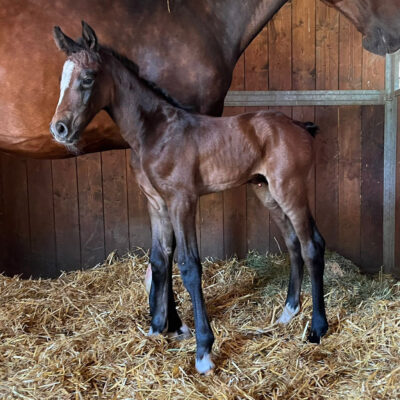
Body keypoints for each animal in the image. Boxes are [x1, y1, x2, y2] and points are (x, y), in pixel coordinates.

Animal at [50, 22, 328, 376]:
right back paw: (288, 312)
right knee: (293, 243)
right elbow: (159, 258)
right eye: (61, 78)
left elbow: (189, 265)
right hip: (266, 191)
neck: (155, 132)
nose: (59, 128)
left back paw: (317, 328)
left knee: (311, 245)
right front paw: (158, 328)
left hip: (290, 188)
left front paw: (203, 350)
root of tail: (299, 125)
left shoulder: (182, 200)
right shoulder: (156, 203)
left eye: (87, 77)